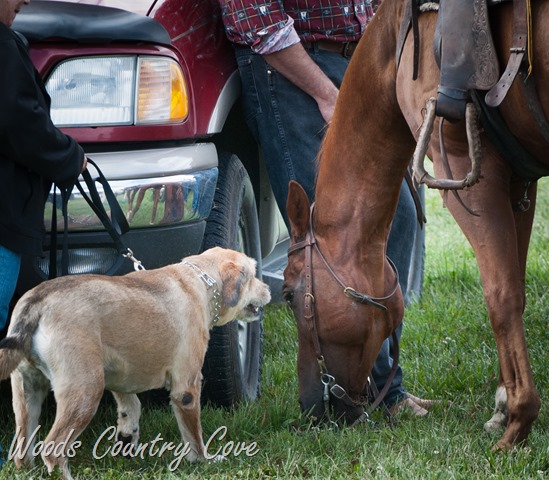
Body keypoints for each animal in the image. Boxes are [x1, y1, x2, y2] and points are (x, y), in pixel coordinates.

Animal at [0, 248, 270, 480]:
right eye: (253, 275)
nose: (268, 288)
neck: (200, 281)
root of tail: (37, 301)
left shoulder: (121, 377)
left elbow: (132, 408)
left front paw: (127, 438)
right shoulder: (187, 389)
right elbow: (194, 436)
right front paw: (204, 460)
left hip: (26, 393)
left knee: (22, 451)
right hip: (85, 392)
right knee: (52, 448)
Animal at [284, 0, 544, 450]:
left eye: (287, 295)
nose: (309, 406)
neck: (397, 49)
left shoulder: (467, 174)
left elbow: (502, 297)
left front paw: (516, 425)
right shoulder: (517, 180)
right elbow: (516, 290)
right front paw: (503, 406)